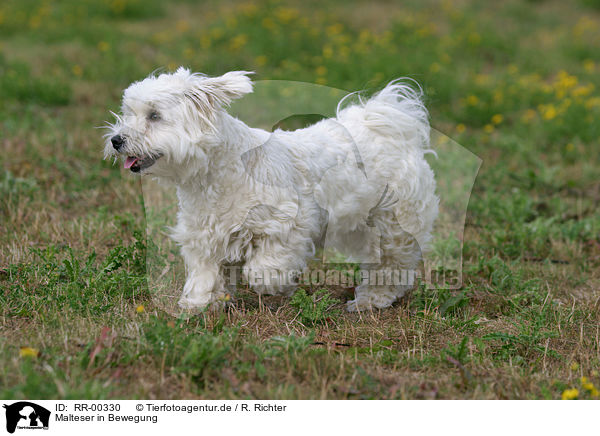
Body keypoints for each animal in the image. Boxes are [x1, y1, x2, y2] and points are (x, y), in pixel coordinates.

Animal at [105, 68, 438, 312]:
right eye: (128, 113)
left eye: (154, 116)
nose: (117, 140)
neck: (218, 173)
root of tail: (388, 126)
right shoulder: (204, 235)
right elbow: (205, 272)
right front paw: (199, 303)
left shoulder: (288, 223)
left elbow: (264, 266)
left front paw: (275, 284)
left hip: (392, 225)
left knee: (391, 267)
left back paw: (372, 300)